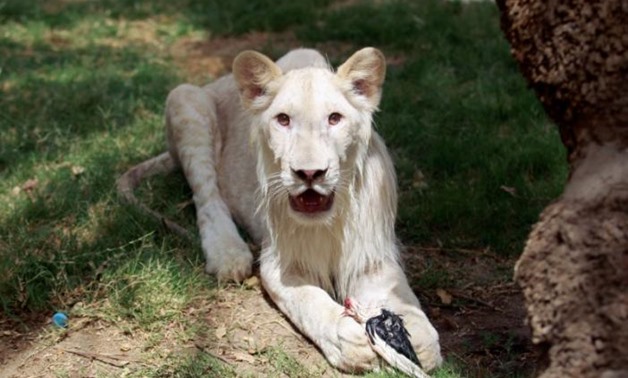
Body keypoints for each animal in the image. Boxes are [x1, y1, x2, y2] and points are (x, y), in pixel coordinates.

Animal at [118, 46, 442, 372]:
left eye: (335, 119)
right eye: (283, 119)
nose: (309, 173)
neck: (328, 223)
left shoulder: (371, 257)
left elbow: (410, 312)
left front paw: (412, 340)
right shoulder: (278, 263)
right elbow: (310, 302)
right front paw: (346, 338)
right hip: (185, 100)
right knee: (207, 196)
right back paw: (228, 254)